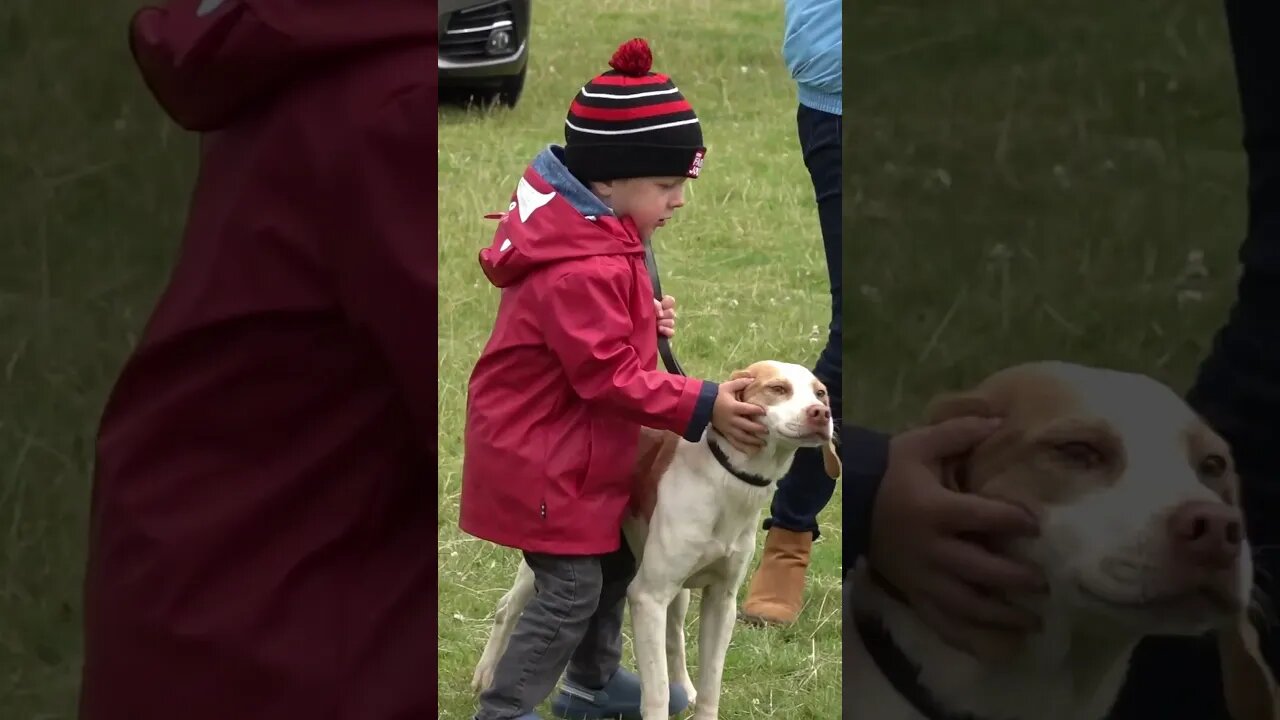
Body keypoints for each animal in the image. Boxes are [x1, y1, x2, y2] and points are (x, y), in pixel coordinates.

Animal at [476, 358, 844, 717]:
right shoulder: (647, 598)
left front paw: (698, 697)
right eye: (778, 388)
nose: (820, 413)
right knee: (507, 608)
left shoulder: (721, 601)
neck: (728, 480)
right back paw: (486, 676)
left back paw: (685, 688)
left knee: (674, 639)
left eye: (821, 394)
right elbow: (657, 693)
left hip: (677, 592)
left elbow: (710, 686)